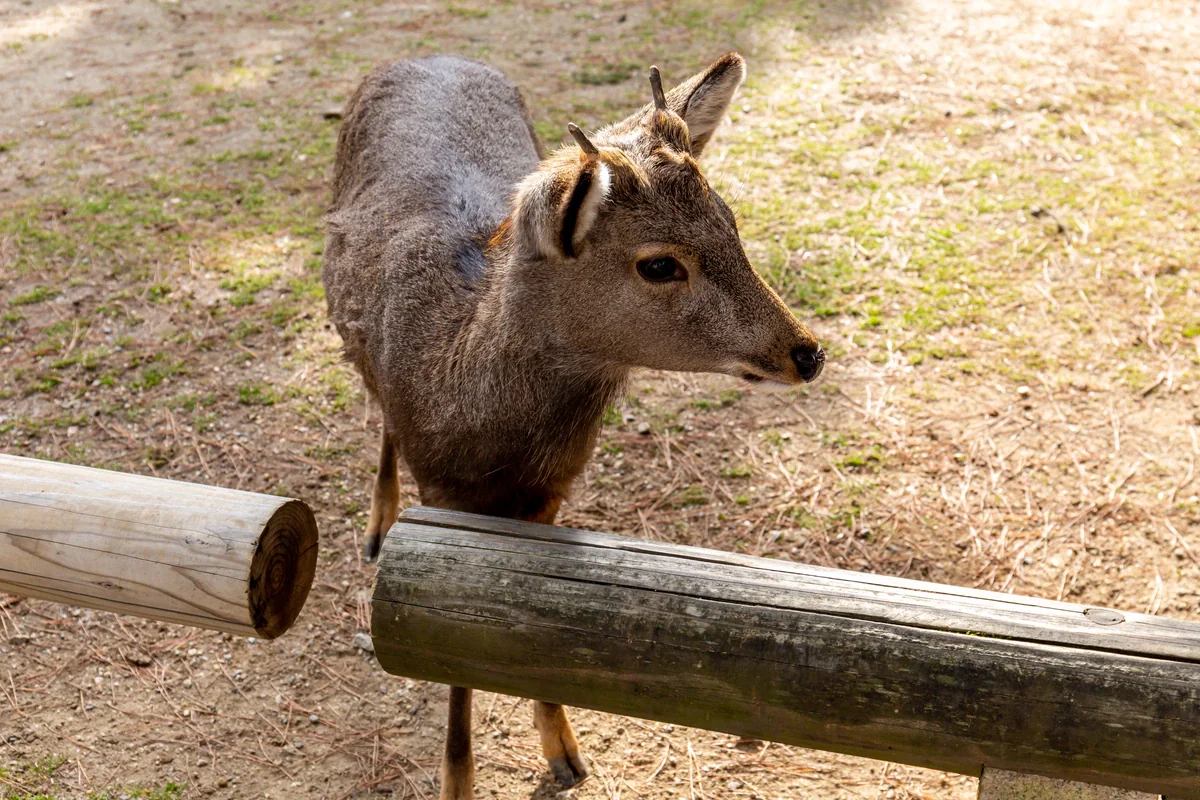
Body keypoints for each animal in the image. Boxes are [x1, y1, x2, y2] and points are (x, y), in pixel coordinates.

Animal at [322, 52, 824, 800]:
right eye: (659, 263)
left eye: (731, 223)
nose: (807, 352)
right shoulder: (442, 499)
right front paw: (458, 782)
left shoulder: (551, 498)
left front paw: (565, 752)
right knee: (379, 415)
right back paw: (377, 527)